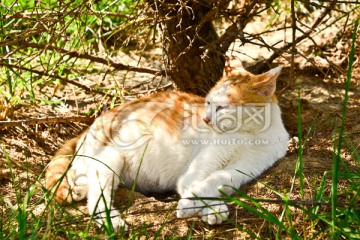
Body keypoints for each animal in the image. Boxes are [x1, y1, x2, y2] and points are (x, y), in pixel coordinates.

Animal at [44, 65, 290, 231]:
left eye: (222, 107)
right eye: (209, 103)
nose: (206, 119)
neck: (249, 136)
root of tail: (91, 124)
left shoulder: (243, 169)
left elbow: (217, 182)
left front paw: (211, 208)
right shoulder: (195, 171)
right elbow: (195, 185)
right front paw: (194, 205)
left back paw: (80, 189)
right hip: (110, 157)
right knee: (95, 192)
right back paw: (111, 220)